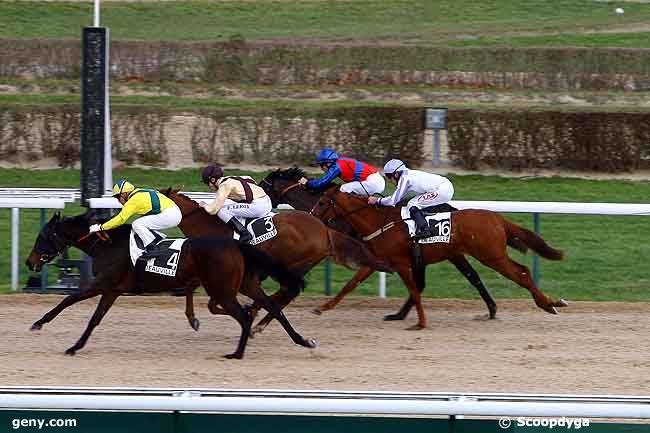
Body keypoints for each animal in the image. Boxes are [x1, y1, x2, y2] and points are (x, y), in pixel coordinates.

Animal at [26, 212, 316, 358]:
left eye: (42, 237)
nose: (30, 263)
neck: (106, 244)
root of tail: (236, 244)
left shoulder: (101, 284)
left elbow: (68, 299)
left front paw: (39, 323)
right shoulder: (112, 290)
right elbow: (94, 319)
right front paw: (75, 346)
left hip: (222, 290)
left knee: (245, 316)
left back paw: (237, 353)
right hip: (244, 285)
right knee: (272, 308)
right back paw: (303, 340)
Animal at [158, 187, 390, 332]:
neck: (210, 228)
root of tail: (324, 230)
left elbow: (213, 303)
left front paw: (247, 311)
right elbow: (198, 293)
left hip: (290, 264)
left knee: (288, 291)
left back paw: (259, 319)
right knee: (286, 293)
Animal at [310, 187, 568, 330]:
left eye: (322, 202)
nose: (311, 216)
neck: (380, 222)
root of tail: (497, 218)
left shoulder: (402, 263)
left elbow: (414, 289)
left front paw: (420, 323)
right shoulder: (380, 260)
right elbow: (350, 284)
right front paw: (322, 307)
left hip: (491, 256)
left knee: (521, 272)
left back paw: (549, 304)